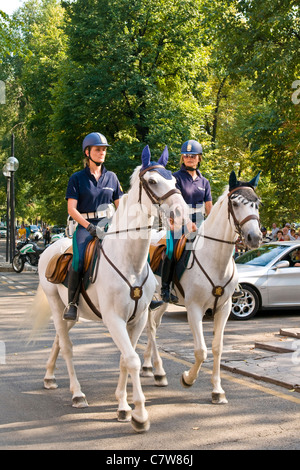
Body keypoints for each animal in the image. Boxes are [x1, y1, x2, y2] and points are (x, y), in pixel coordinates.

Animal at [28, 145, 188, 432]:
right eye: (152, 181)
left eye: (174, 181)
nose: (182, 213)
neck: (130, 261)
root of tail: (50, 248)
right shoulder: (114, 320)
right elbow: (133, 360)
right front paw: (139, 414)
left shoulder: (138, 320)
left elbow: (127, 359)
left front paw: (123, 406)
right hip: (57, 306)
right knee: (67, 346)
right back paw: (77, 394)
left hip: (73, 313)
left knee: (60, 337)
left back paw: (49, 376)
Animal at [142, 173, 262, 404]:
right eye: (235, 203)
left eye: (257, 204)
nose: (255, 238)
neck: (214, 257)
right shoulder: (194, 308)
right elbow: (201, 351)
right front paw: (188, 379)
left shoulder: (223, 308)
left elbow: (217, 348)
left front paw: (217, 390)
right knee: (150, 327)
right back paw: (158, 370)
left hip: (163, 301)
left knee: (154, 324)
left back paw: (148, 367)